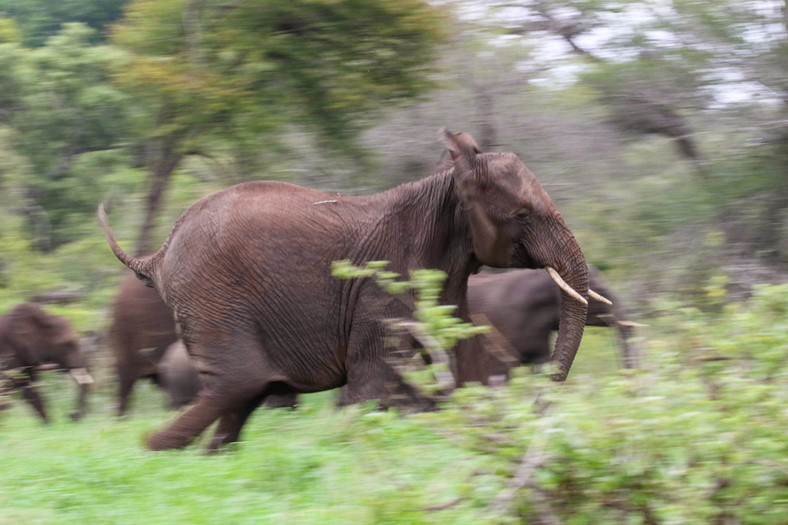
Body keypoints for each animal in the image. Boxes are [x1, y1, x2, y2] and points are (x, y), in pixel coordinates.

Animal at [98, 128, 592, 450]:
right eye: (523, 215)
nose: (539, 407)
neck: (446, 183)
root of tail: (160, 253)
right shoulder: (384, 287)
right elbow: (371, 381)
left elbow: (468, 367)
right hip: (213, 296)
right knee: (240, 382)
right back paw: (149, 446)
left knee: (241, 395)